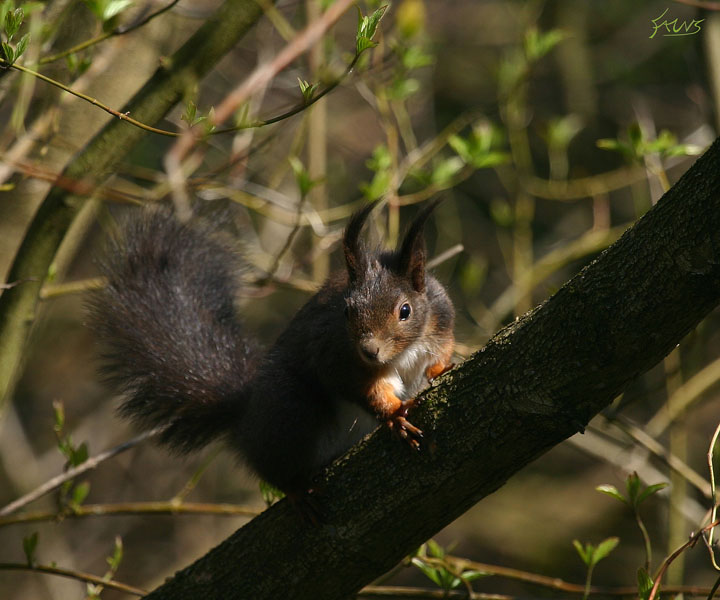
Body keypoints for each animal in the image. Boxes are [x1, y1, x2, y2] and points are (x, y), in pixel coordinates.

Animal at [87, 202, 452, 502]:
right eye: (347, 312)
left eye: (405, 311)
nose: (369, 351)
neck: (402, 354)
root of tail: (248, 417)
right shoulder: (336, 356)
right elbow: (366, 389)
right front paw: (395, 415)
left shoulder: (440, 321)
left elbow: (440, 354)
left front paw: (441, 370)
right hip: (291, 410)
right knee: (273, 465)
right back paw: (297, 489)